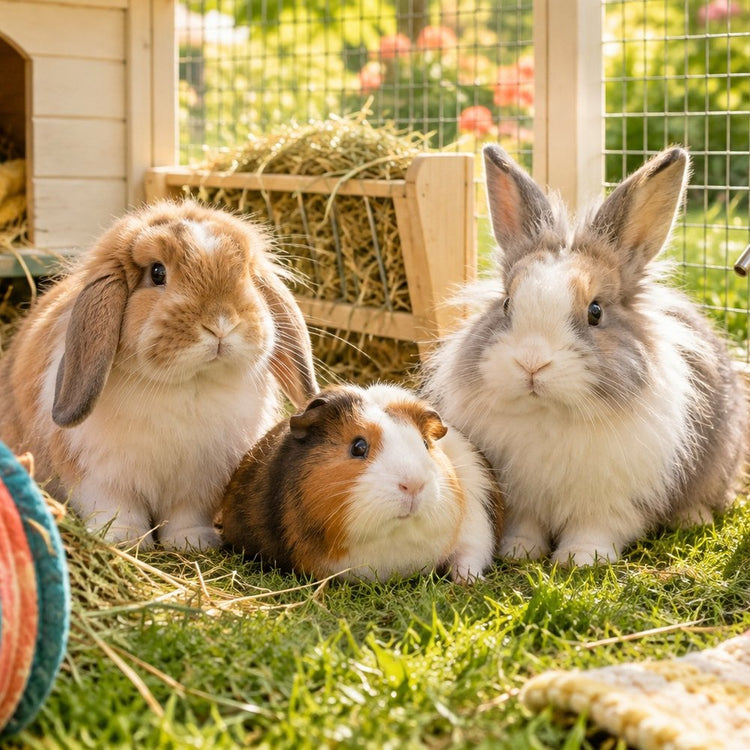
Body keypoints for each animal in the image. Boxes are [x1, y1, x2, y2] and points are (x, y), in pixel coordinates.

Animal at [0, 199, 318, 550]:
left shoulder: (199, 486)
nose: (221, 322)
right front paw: (124, 540)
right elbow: (116, 509)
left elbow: (186, 516)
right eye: (157, 272)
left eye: (246, 272)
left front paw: (192, 542)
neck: (189, 384)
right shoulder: (99, 477)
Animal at [215, 383, 503, 582]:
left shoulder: (476, 530)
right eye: (358, 447)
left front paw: (470, 582)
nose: (413, 485)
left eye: (424, 444)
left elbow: (468, 556)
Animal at [423, 145, 748, 566]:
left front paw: (579, 559)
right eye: (507, 303)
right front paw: (519, 552)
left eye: (595, 312)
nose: (532, 362)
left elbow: (595, 528)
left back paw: (693, 518)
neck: (550, 415)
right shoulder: (522, 499)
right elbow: (525, 525)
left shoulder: (611, 502)